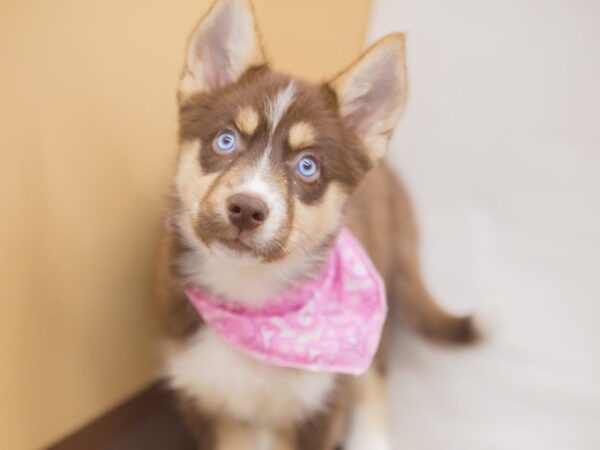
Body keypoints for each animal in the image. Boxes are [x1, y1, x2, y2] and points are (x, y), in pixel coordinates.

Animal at [157, 0, 480, 446]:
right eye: (225, 140)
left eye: (307, 166)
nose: (246, 208)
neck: (253, 299)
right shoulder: (208, 400)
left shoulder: (319, 405)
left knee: (376, 376)